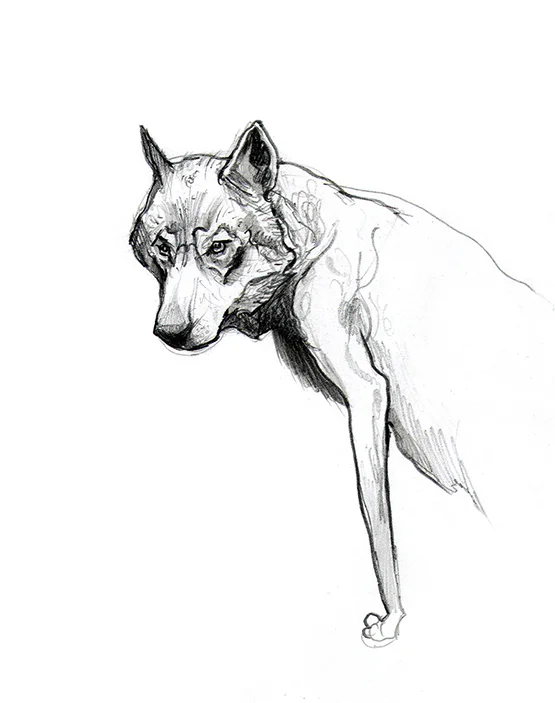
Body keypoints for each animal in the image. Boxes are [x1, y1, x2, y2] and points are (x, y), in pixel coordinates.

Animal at [130, 121, 555, 647]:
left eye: (219, 247)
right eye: (163, 248)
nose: (169, 334)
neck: (307, 240)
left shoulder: (367, 393)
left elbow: (376, 517)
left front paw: (393, 618)